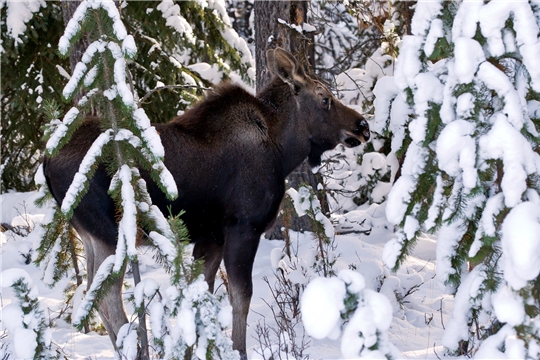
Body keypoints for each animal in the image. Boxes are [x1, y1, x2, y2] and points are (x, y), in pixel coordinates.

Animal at [44, 48, 370, 358]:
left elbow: (201, 297)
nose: (363, 126)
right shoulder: (243, 228)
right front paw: (238, 350)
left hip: (90, 233)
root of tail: (45, 162)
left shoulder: (210, 238)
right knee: (107, 298)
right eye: (325, 98)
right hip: (112, 231)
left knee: (91, 294)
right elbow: (241, 297)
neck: (283, 151)